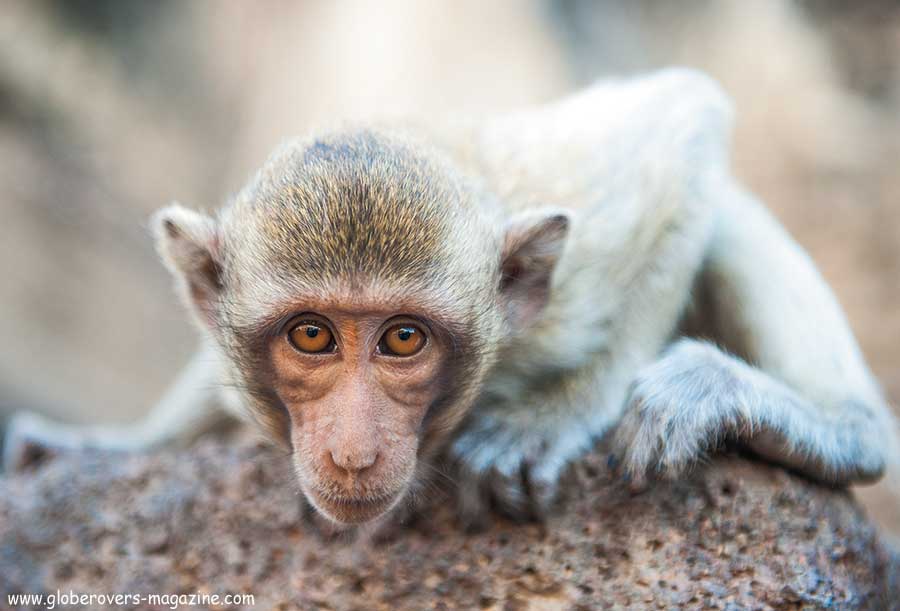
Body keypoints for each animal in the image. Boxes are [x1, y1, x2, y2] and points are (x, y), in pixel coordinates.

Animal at [5, 67, 892, 528]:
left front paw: (558, 412)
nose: (352, 453)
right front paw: (118, 442)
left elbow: (687, 120)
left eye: (404, 338)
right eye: (311, 336)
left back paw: (834, 425)